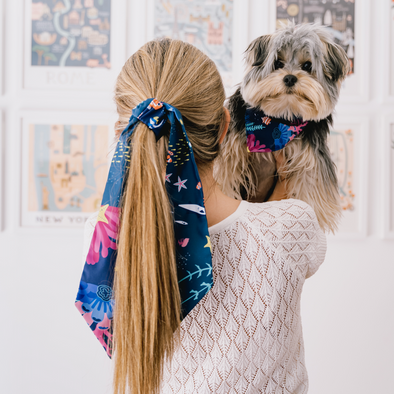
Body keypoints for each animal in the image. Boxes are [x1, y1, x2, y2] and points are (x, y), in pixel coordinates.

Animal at [217, 22, 350, 234]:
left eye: (307, 66)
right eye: (278, 64)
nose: (289, 78)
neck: (279, 120)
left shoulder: (311, 156)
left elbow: (312, 183)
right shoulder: (231, 148)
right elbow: (224, 174)